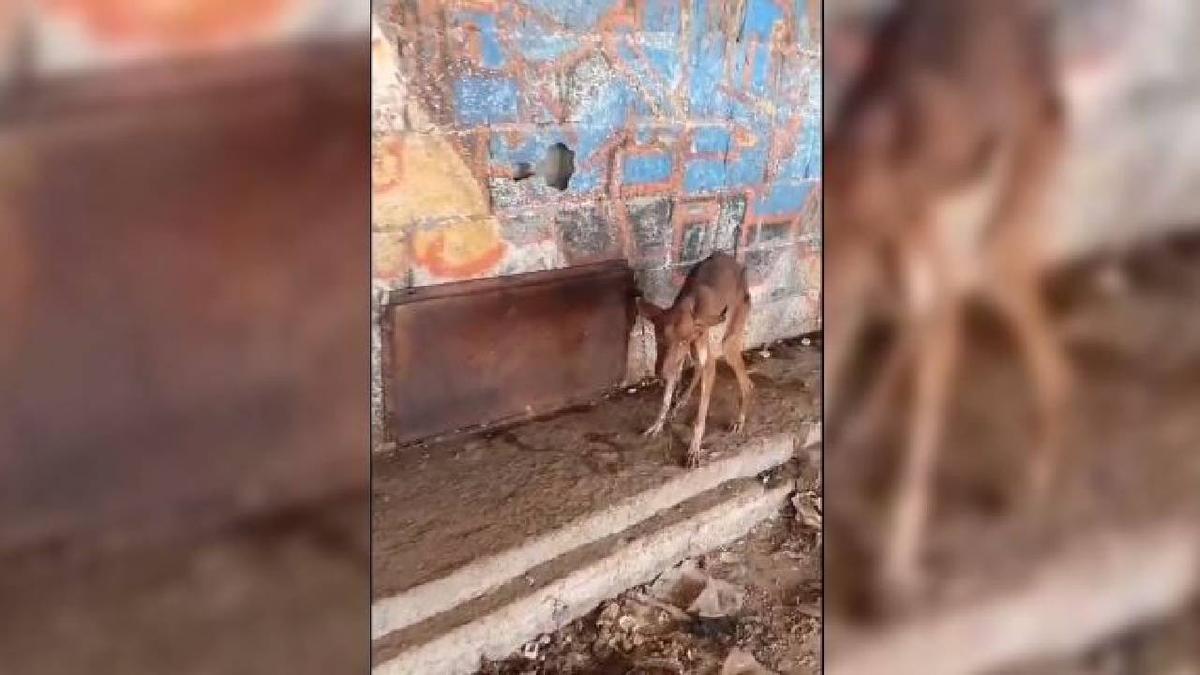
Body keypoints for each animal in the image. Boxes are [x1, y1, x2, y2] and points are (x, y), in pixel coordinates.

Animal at [638, 249, 748, 466]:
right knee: (696, 368)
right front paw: (658, 424)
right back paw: (681, 400)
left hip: (728, 344)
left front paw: (694, 449)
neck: (689, 304)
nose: (660, 374)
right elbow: (665, 400)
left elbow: (701, 415)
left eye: (681, 341)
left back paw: (740, 419)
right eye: (660, 338)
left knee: (747, 384)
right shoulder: (673, 360)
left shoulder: (704, 360)